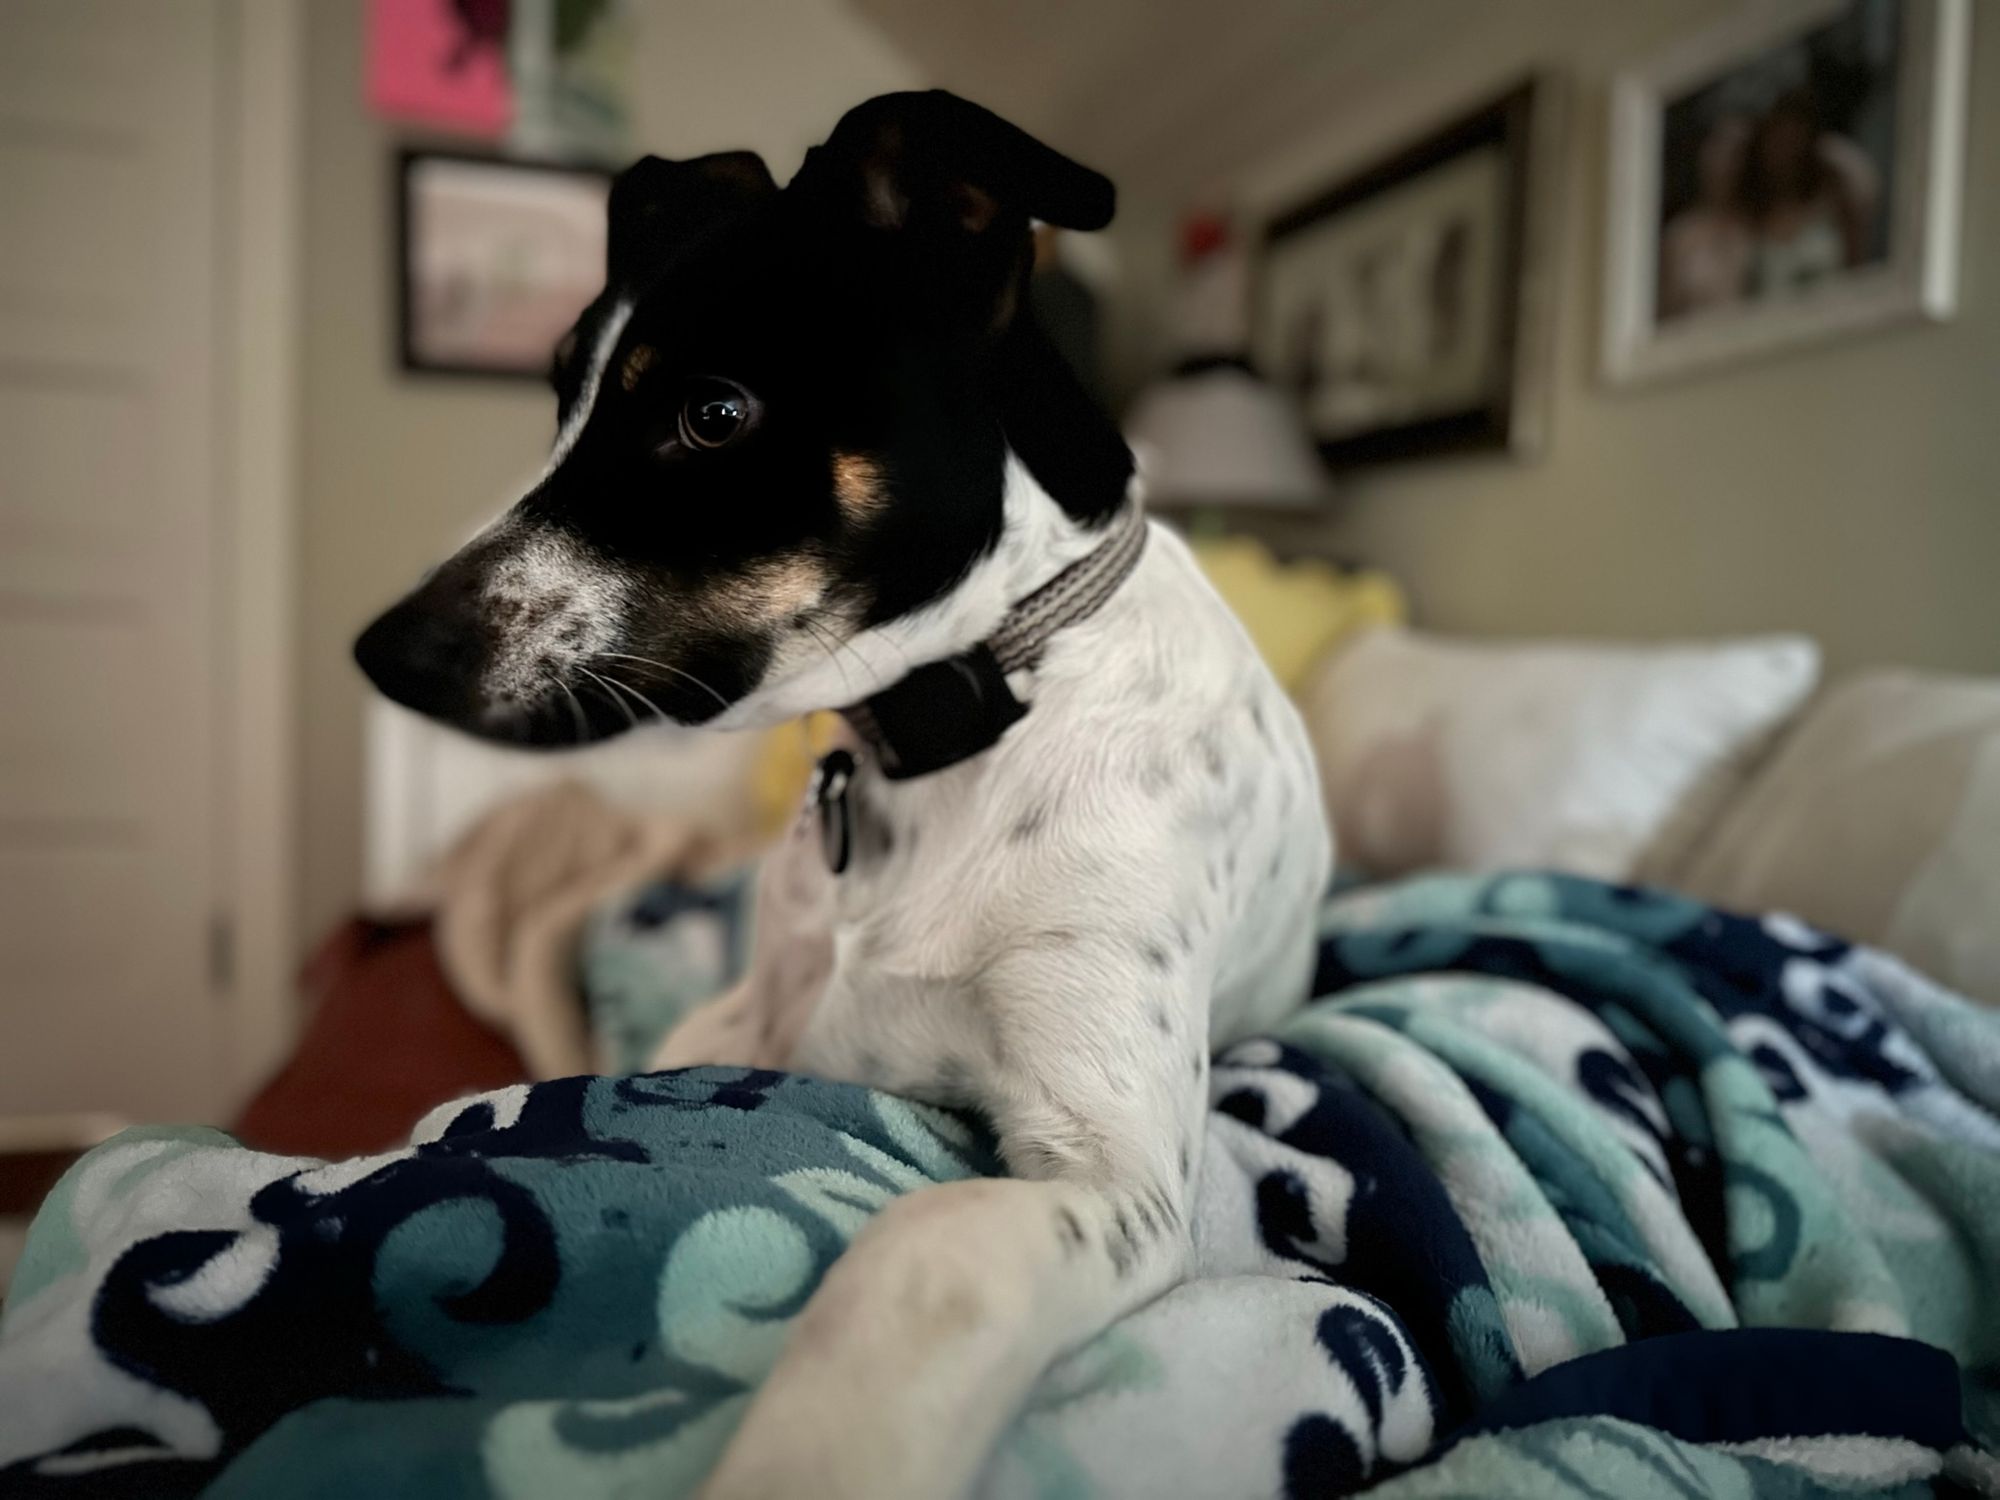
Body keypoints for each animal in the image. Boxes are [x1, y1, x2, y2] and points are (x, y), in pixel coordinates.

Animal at [356, 94, 1328, 1500]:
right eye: (559, 397)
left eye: (714, 413)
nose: (381, 654)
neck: (975, 706)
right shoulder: (749, 1015)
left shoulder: (1117, 1167)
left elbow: (922, 1258)